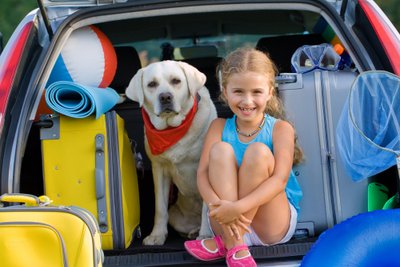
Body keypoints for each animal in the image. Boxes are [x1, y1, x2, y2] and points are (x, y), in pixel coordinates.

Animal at [126, 59, 217, 246]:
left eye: (176, 81)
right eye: (152, 84)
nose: (165, 97)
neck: (172, 130)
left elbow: (207, 207)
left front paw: (206, 235)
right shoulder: (159, 169)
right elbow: (160, 208)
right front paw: (157, 235)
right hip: (176, 216)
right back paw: (193, 231)